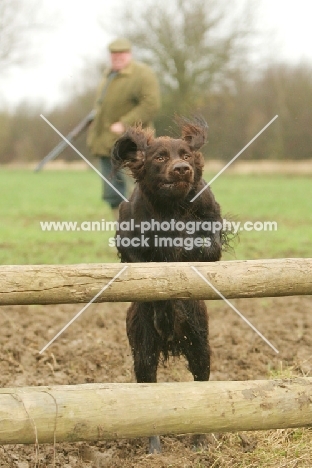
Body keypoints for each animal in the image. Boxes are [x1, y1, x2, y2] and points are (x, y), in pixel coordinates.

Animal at [111, 117, 223, 454]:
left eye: (186, 155)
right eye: (160, 157)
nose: (182, 169)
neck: (169, 208)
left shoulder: (210, 212)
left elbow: (208, 247)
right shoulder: (127, 232)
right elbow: (142, 262)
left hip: (199, 344)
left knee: (201, 384)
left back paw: (199, 441)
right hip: (143, 349)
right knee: (149, 393)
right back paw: (155, 448)